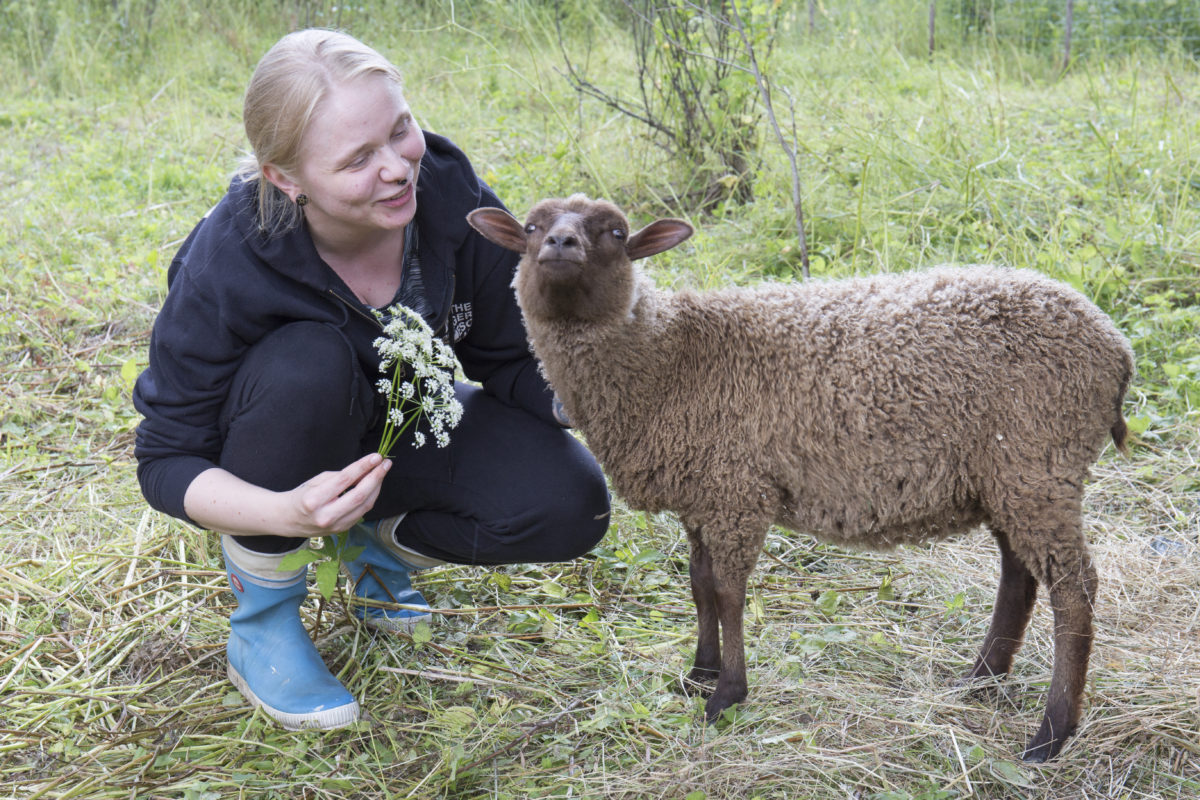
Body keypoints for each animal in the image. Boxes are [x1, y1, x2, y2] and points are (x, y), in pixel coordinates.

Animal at [465, 194, 1132, 762]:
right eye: (530, 226)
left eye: (617, 233)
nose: (560, 243)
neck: (666, 358)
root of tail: (1114, 344)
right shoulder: (702, 494)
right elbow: (700, 585)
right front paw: (698, 673)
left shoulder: (738, 490)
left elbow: (729, 592)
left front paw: (726, 695)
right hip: (1004, 475)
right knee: (1019, 575)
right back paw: (980, 680)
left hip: (1038, 462)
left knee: (1073, 589)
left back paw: (1050, 733)